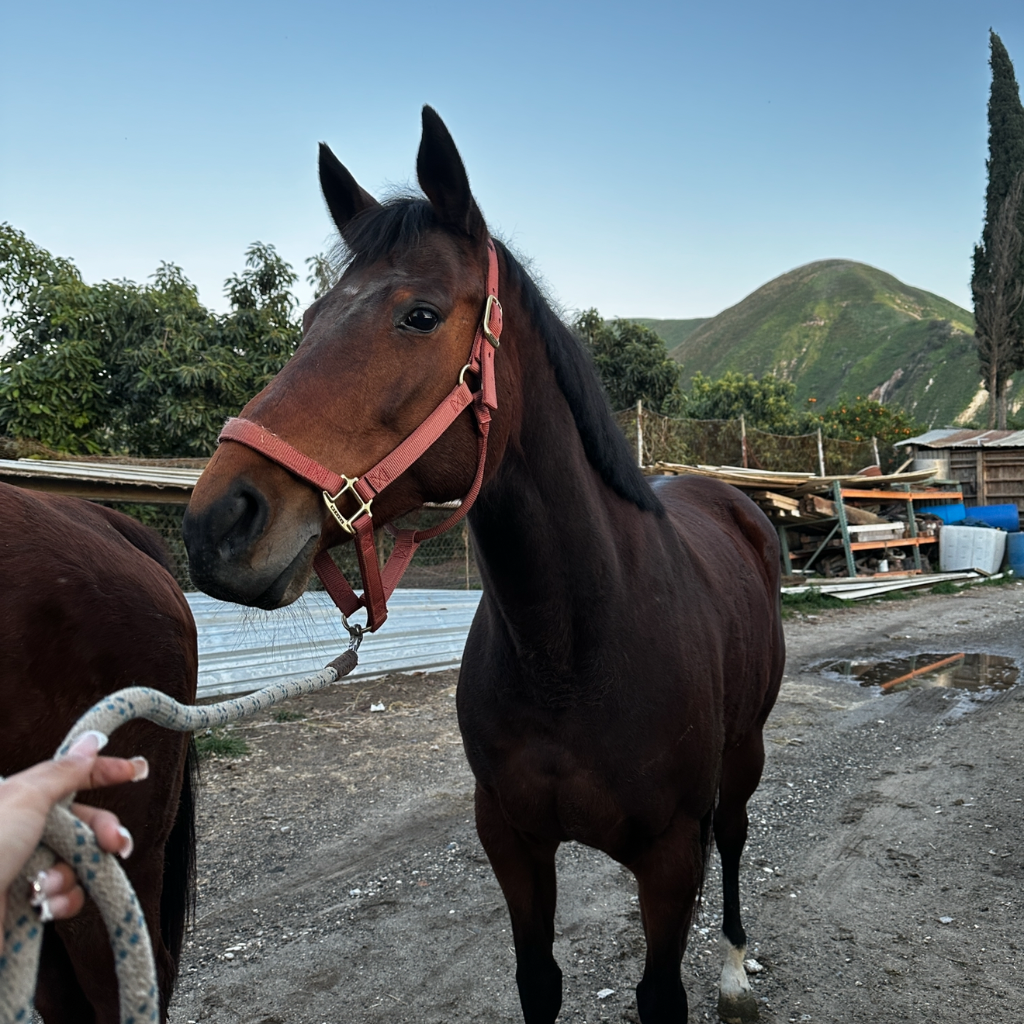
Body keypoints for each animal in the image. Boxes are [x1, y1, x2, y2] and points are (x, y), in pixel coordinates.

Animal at [182, 107, 785, 1024]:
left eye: (421, 315)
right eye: (310, 318)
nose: (218, 523)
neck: (575, 647)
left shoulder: (669, 855)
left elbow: (660, 991)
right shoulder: (511, 838)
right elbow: (538, 981)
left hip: (745, 752)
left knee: (737, 834)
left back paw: (735, 970)